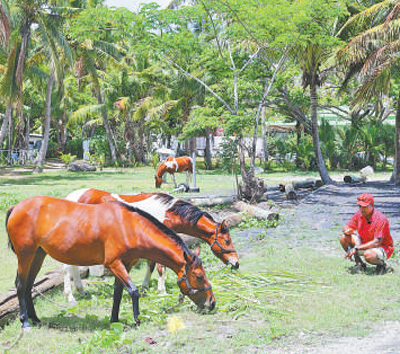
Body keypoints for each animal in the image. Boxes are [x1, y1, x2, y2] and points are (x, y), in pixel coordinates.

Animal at [5, 196, 216, 330]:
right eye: (199, 276)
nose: (212, 303)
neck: (129, 226)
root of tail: (15, 207)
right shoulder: (114, 263)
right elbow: (133, 291)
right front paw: (137, 320)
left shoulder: (125, 264)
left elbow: (118, 293)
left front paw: (114, 320)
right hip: (26, 255)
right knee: (21, 285)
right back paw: (25, 322)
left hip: (38, 255)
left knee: (29, 285)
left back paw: (35, 319)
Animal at [65, 188, 241, 302]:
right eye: (227, 241)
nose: (236, 263)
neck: (168, 212)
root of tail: (70, 198)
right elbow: (160, 267)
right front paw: (161, 290)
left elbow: (151, 264)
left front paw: (145, 287)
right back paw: (70, 296)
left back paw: (81, 290)